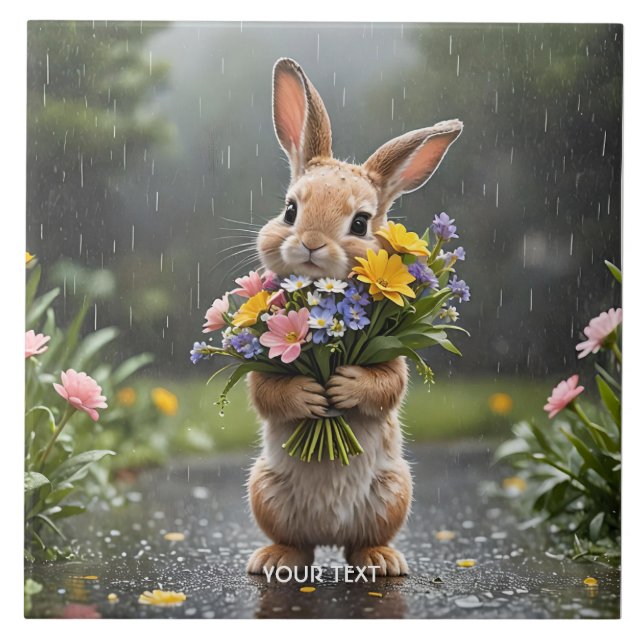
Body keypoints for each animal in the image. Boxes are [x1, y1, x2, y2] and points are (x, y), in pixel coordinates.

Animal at [245, 57, 462, 576]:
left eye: (360, 223)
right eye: (290, 210)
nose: (311, 243)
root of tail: (327, 537)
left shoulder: (391, 352)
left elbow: (387, 384)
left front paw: (342, 388)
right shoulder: (264, 364)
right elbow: (267, 392)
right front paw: (311, 394)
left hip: (394, 492)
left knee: (360, 543)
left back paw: (381, 561)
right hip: (264, 490)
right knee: (297, 544)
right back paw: (274, 559)